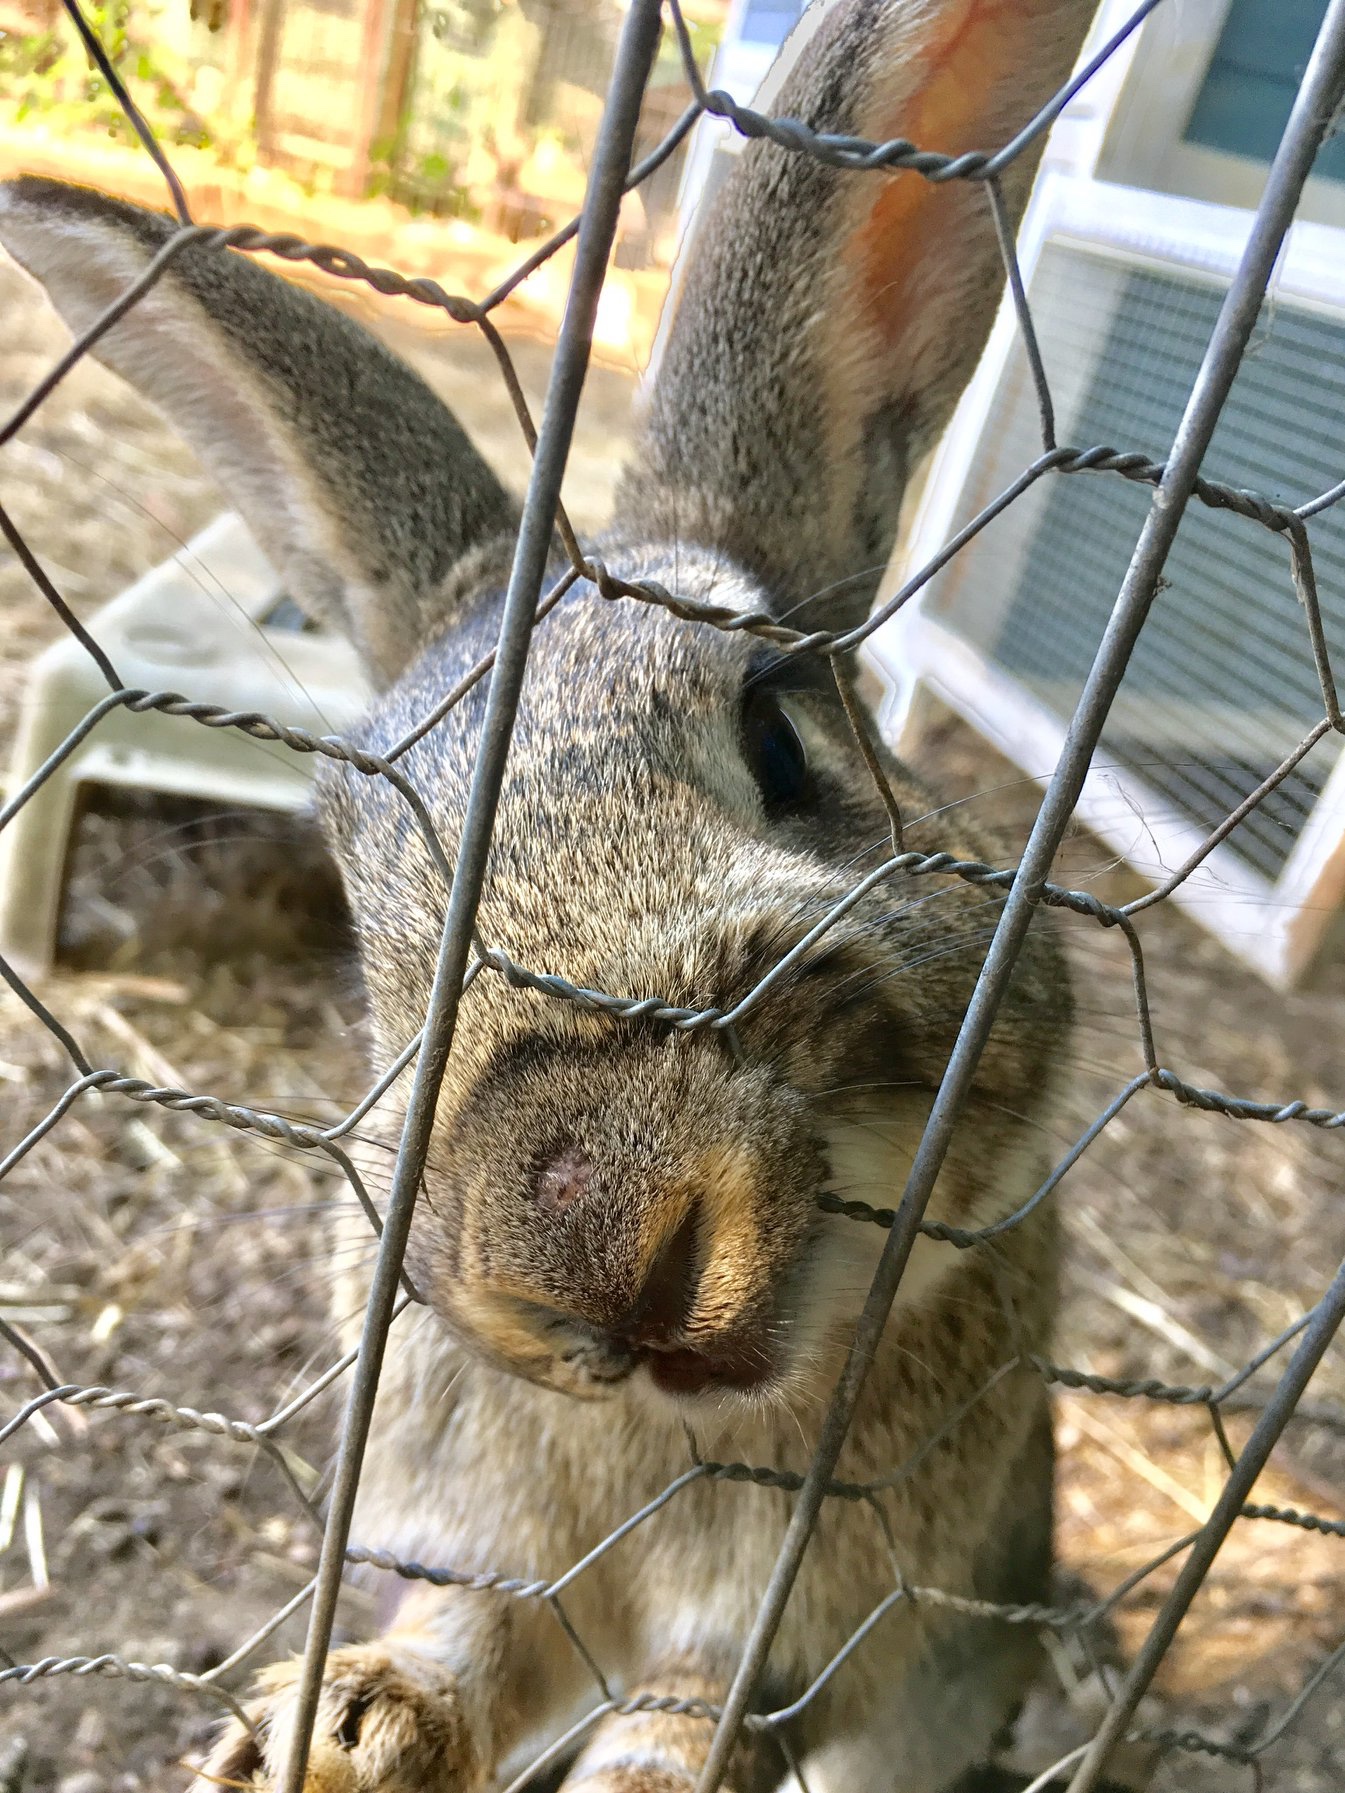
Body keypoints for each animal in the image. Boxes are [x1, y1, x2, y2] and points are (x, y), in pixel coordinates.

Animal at [0, 0, 1099, 1788]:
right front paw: (336, 1725)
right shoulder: (497, 1553)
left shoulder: (808, 1624)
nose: (589, 1241)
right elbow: (470, 1648)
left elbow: (700, 1712)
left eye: (778, 731)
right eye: (366, 897)